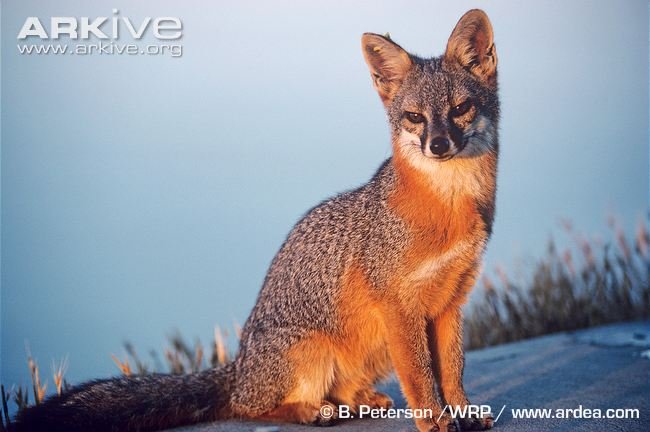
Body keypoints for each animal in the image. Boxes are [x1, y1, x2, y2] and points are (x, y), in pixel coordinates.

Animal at [11, 9, 499, 432]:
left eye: (460, 109)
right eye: (414, 117)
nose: (438, 145)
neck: (450, 209)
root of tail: (239, 366)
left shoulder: (451, 301)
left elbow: (452, 370)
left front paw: (464, 413)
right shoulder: (400, 307)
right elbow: (419, 378)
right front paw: (436, 422)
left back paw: (358, 401)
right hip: (313, 353)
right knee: (252, 406)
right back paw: (313, 411)